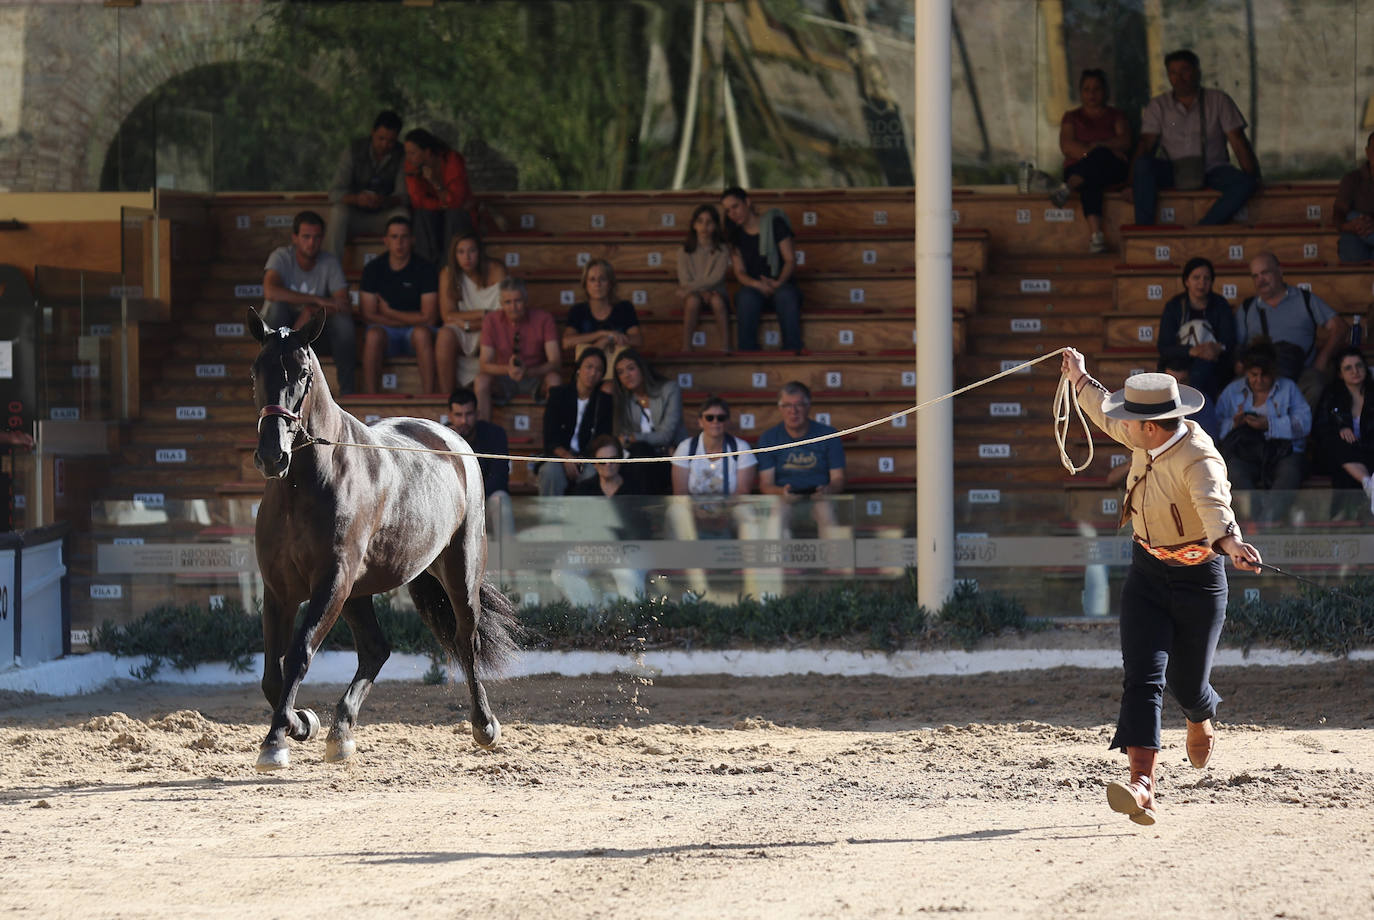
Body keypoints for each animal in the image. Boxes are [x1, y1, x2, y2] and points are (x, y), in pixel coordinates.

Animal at [244, 310, 516, 768]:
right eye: (256, 369)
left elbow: (299, 654)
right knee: (375, 649)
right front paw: (303, 722)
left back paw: (484, 726)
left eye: (303, 373)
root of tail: (452, 440)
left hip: (458, 572)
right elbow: (271, 673)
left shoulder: (331, 583)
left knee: (466, 638)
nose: (271, 455)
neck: (305, 486)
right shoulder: (280, 589)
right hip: (358, 593)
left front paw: (277, 740)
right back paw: (340, 732)